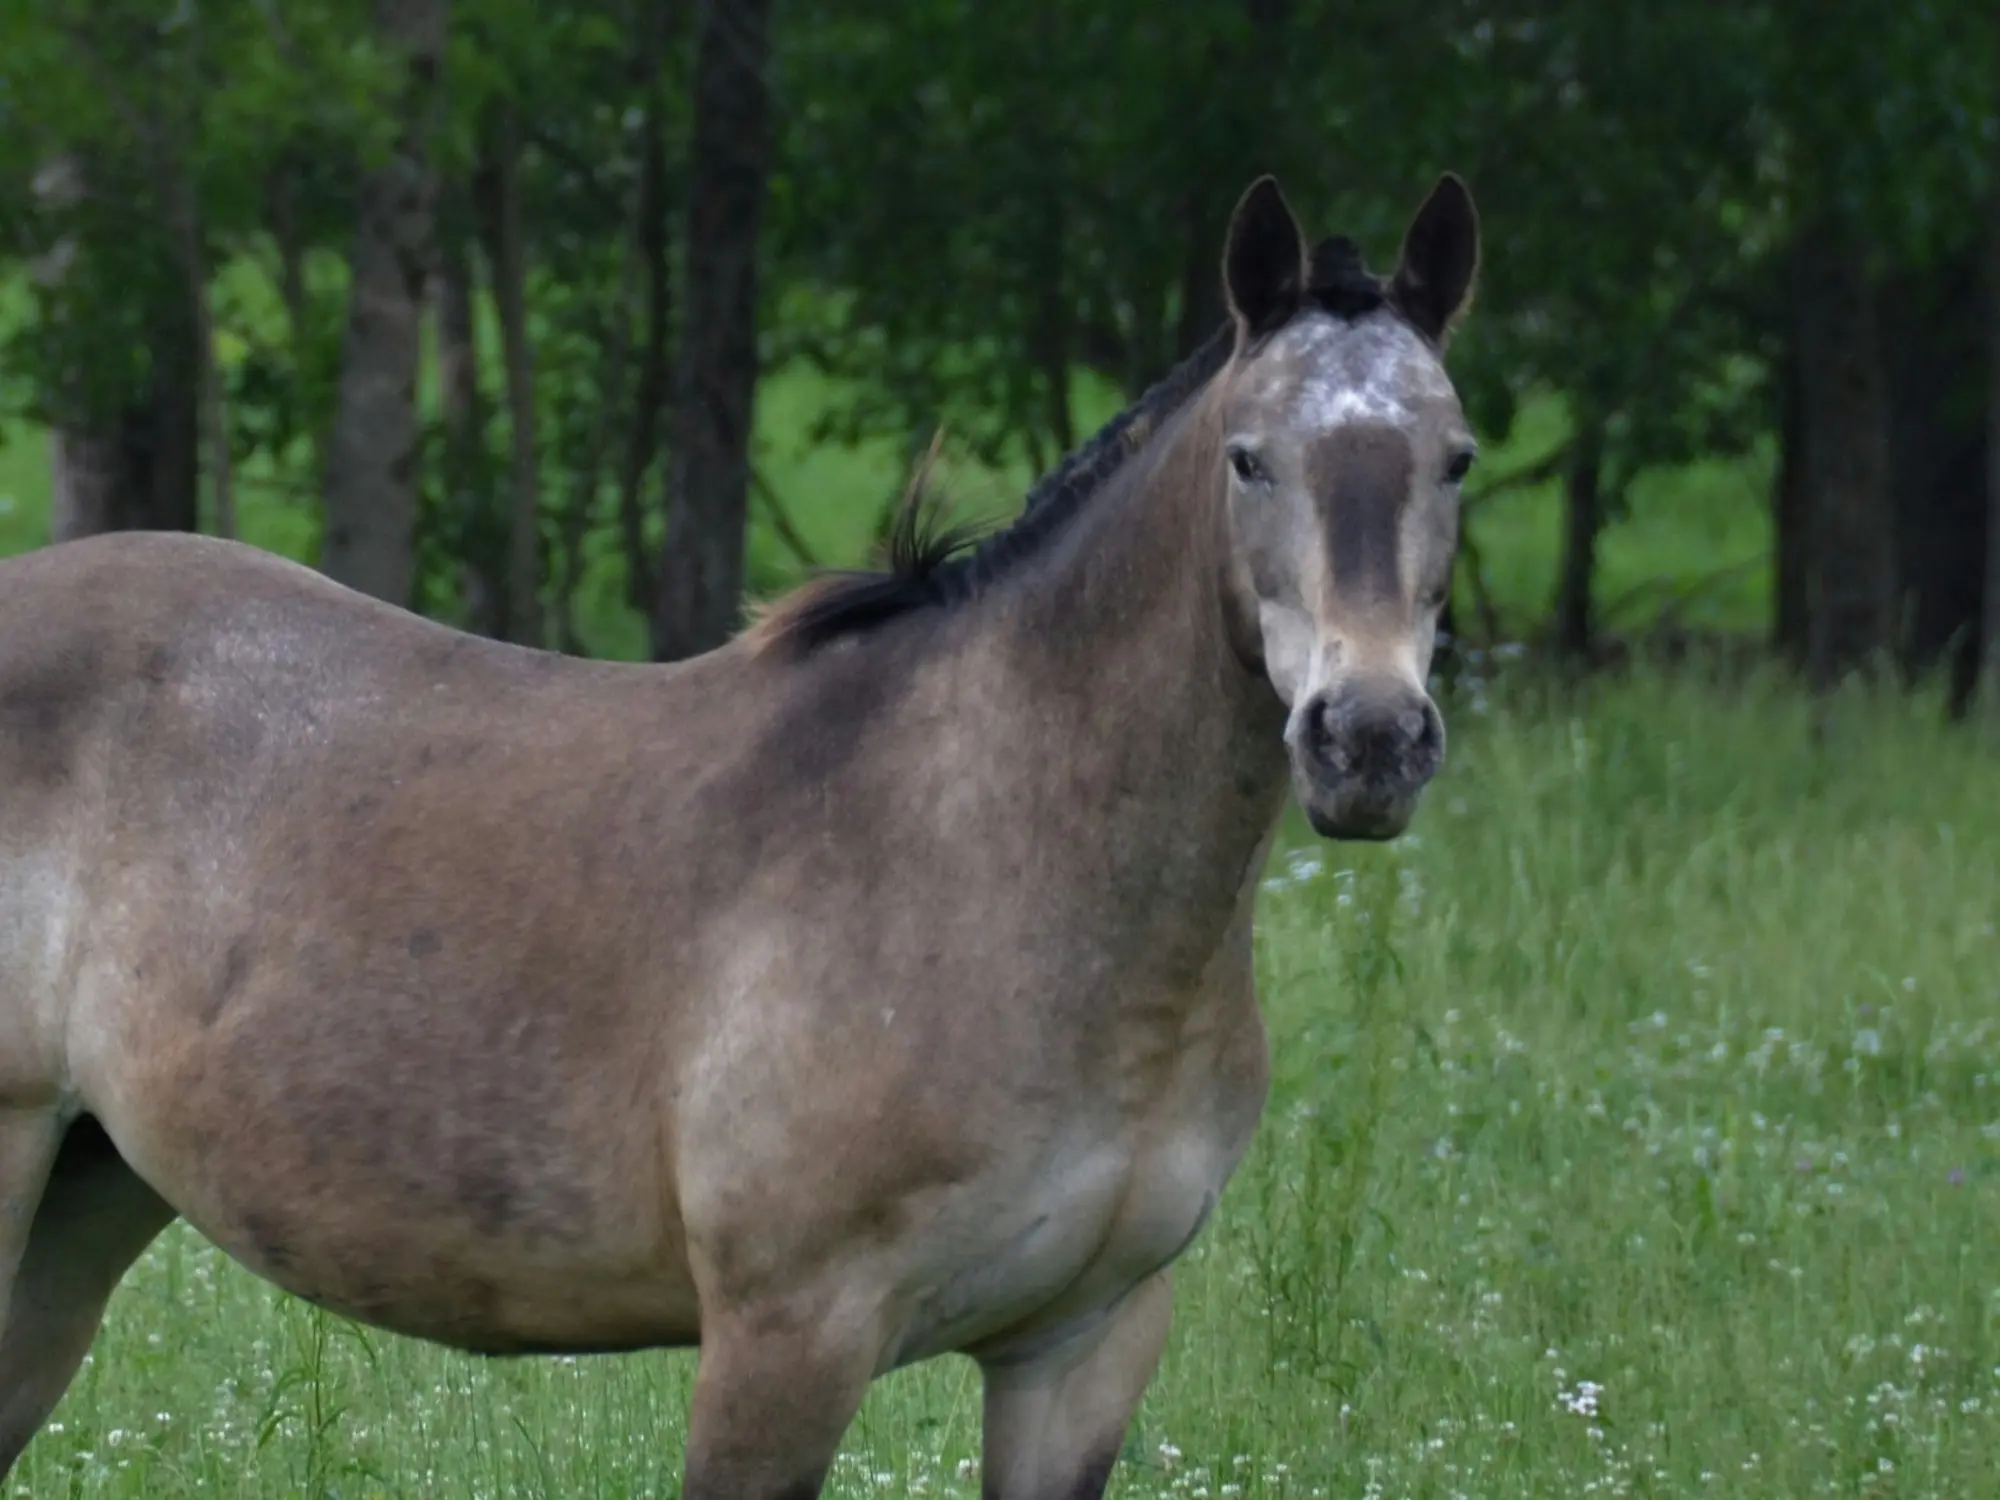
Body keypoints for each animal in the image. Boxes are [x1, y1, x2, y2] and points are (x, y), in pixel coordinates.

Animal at [0, 173, 1472, 1496]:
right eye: (1248, 457)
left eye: (1453, 458)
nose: (1368, 740)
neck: (998, 858)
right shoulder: (786, 1345)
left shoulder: (1081, 1348)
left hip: (85, 1196)